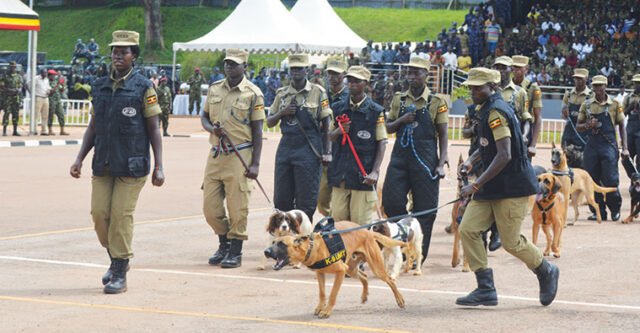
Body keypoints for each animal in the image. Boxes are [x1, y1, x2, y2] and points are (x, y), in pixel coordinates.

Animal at [264, 222, 404, 318]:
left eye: (282, 244)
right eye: (273, 242)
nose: (266, 252)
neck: (311, 247)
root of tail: (367, 231)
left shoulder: (340, 272)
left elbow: (332, 294)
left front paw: (326, 311)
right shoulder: (320, 273)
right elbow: (322, 293)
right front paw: (320, 307)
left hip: (375, 268)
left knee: (390, 280)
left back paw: (400, 300)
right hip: (351, 269)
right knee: (364, 276)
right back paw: (364, 296)